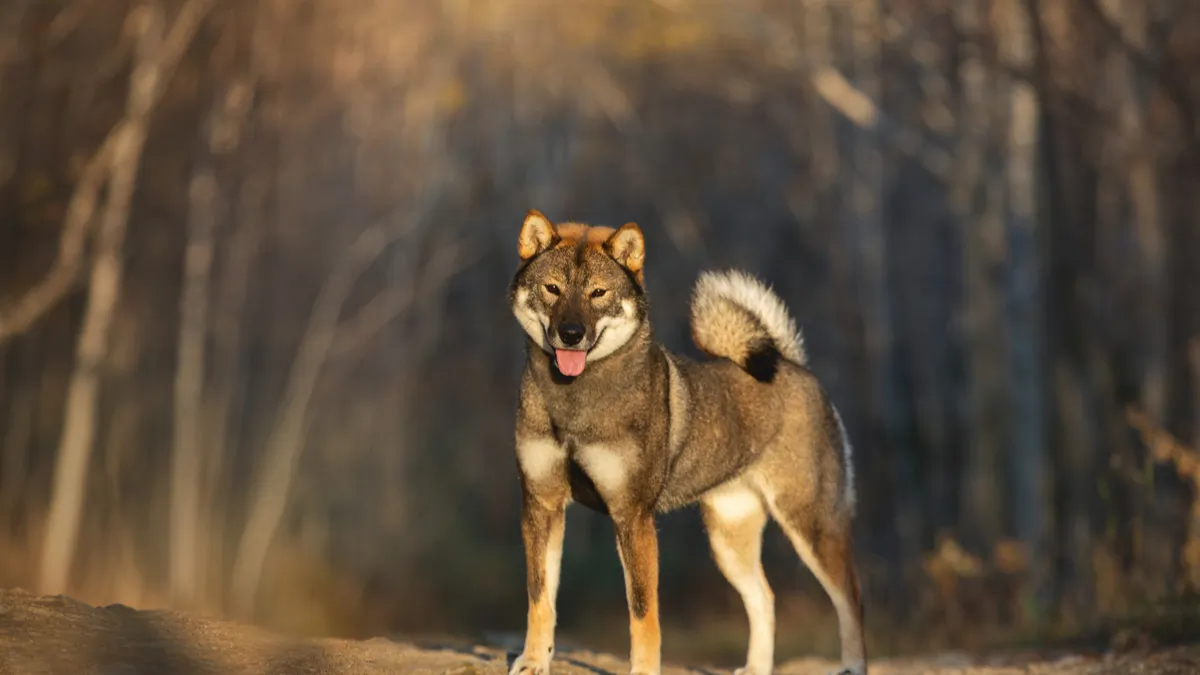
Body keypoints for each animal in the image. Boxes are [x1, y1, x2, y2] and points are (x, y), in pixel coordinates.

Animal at [504, 210, 864, 672]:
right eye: (552, 288)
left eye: (598, 292)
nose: (571, 333)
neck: (572, 399)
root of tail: (792, 365)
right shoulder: (541, 505)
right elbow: (540, 597)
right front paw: (534, 660)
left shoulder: (632, 516)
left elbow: (643, 612)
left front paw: (642, 670)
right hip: (728, 539)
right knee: (764, 598)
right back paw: (757, 666)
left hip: (811, 525)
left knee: (851, 599)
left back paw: (853, 663)